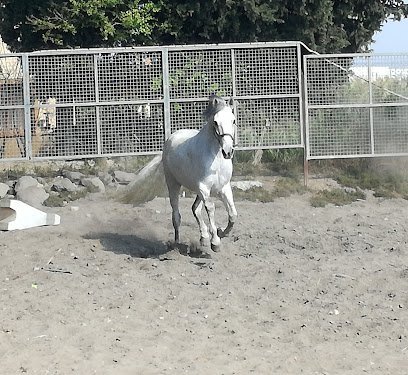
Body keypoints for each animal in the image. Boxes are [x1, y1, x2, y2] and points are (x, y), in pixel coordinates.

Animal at [163, 94, 237, 253]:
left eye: (233, 120)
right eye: (215, 122)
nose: (228, 152)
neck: (216, 159)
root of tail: (172, 137)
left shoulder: (224, 188)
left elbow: (233, 214)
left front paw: (221, 232)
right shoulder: (204, 188)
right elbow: (211, 208)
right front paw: (215, 242)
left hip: (196, 191)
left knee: (195, 209)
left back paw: (203, 238)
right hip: (173, 184)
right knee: (176, 215)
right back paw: (176, 244)